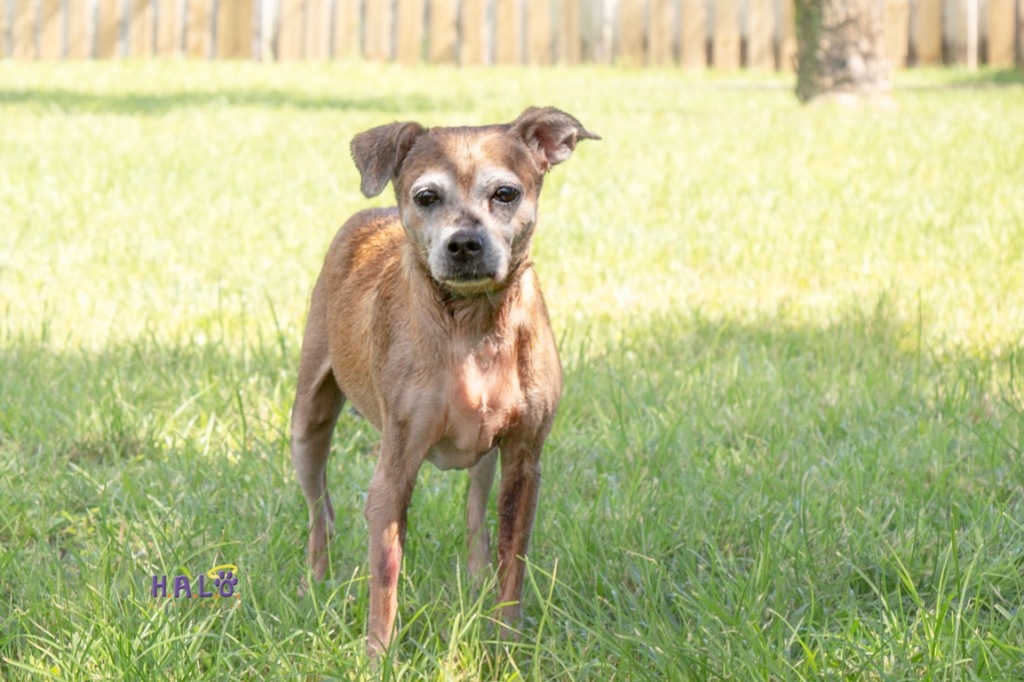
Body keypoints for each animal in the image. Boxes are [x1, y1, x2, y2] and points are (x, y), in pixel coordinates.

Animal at [290, 104, 598, 655]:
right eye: (427, 196)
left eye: (506, 193)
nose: (464, 243)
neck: (472, 327)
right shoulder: (394, 472)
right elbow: (385, 573)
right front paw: (378, 656)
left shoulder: (524, 462)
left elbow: (512, 562)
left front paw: (506, 644)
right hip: (307, 424)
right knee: (320, 510)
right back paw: (316, 582)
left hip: (486, 460)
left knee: (476, 513)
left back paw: (475, 578)